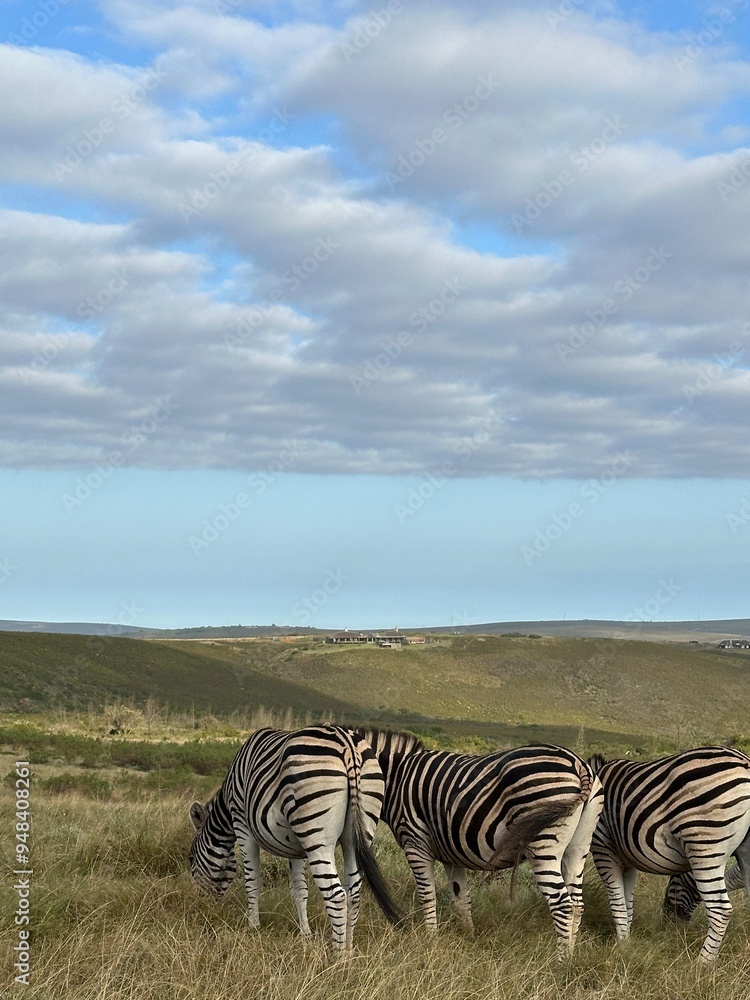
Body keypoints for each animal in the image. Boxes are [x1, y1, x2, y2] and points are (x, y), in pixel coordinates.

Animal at [188, 724, 401, 951]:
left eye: (190, 859)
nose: (201, 907)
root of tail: (348, 744)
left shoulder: (242, 825)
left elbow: (252, 880)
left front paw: (253, 926)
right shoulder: (296, 846)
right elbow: (300, 889)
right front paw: (305, 933)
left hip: (317, 836)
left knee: (336, 895)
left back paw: (338, 954)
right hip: (357, 835)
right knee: (354, 892)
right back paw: (350, 949)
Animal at [355, 729, 604, 957]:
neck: (397, 777)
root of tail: (579, 764)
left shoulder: (415, 842)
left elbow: (427, 895)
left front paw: (429, 940)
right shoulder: (451, 854)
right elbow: (461, 898)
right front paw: (469, 938)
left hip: (543, 844)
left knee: (563, 904)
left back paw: (561, 961)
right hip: (578, 846)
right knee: (577, 903)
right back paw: (572, 956)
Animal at [589, 747, 750, 962]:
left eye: (674, 878)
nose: (667, 918)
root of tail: (745, 762)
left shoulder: (603, 847)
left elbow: (617, 901)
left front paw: (620, 946)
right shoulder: (627, 859)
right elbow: (627, 900)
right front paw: (627, 943)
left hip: (703, 842)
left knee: (721, 911)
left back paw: (702, 963)